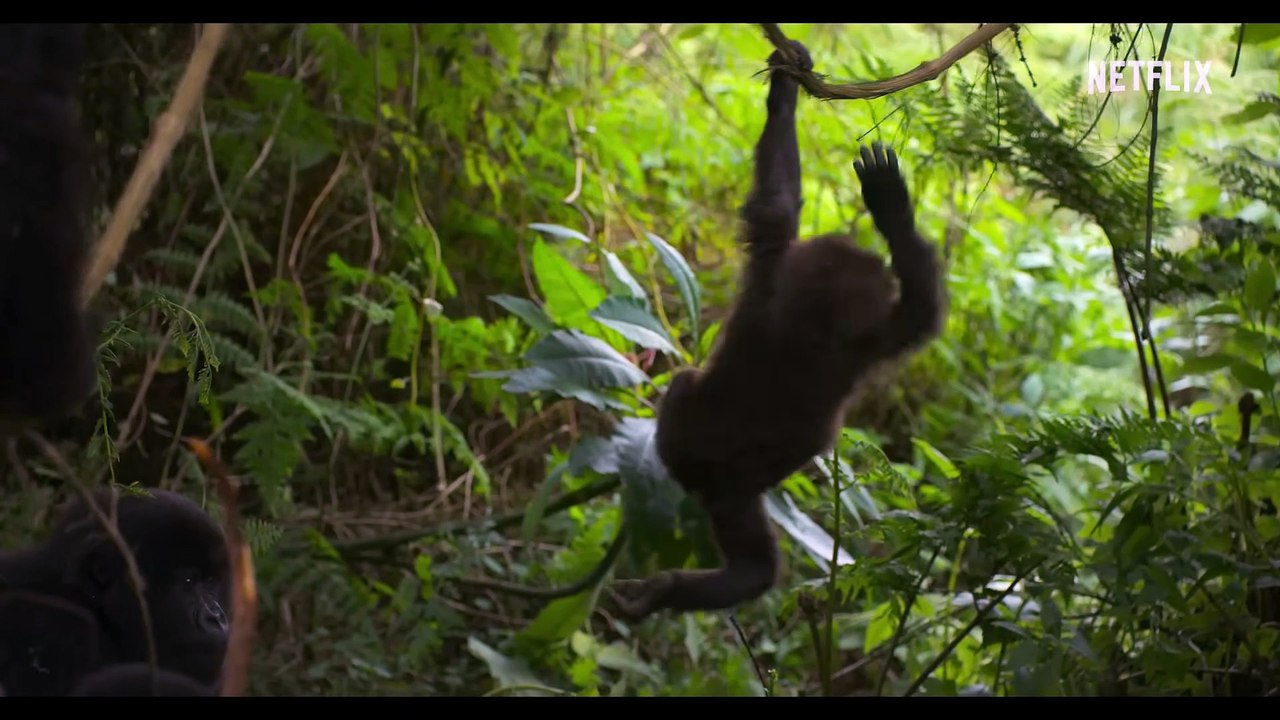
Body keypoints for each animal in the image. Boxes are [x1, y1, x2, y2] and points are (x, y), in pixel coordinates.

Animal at [611, 40, 945, 621]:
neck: (814, 316)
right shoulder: (832, 306)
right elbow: (782, 202)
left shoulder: (781, 270)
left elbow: (777, 200)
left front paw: (890, 208)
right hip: (714, 466)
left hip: (708, 463)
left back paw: (665, 588)